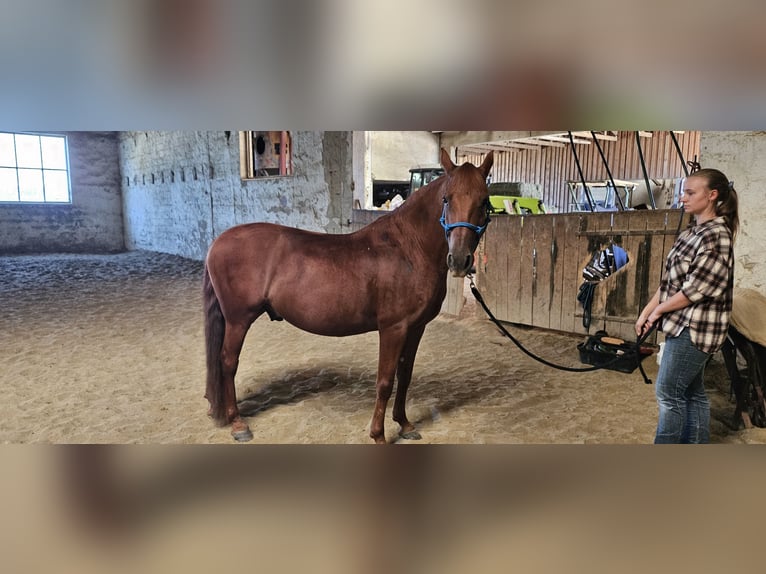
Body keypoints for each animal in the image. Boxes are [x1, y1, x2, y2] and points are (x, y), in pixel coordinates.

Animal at [203, 148, 494, 443]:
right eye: (447, 198)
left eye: (484, 201)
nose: (459, 259)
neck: (409, 249)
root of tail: (218, 242)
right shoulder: (393, 329)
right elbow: (385, 382)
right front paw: (378, 435)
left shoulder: (415, 327)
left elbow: (405, 375)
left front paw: (405, 424)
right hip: (238, 320)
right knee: (227, 362)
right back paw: (238, 424)